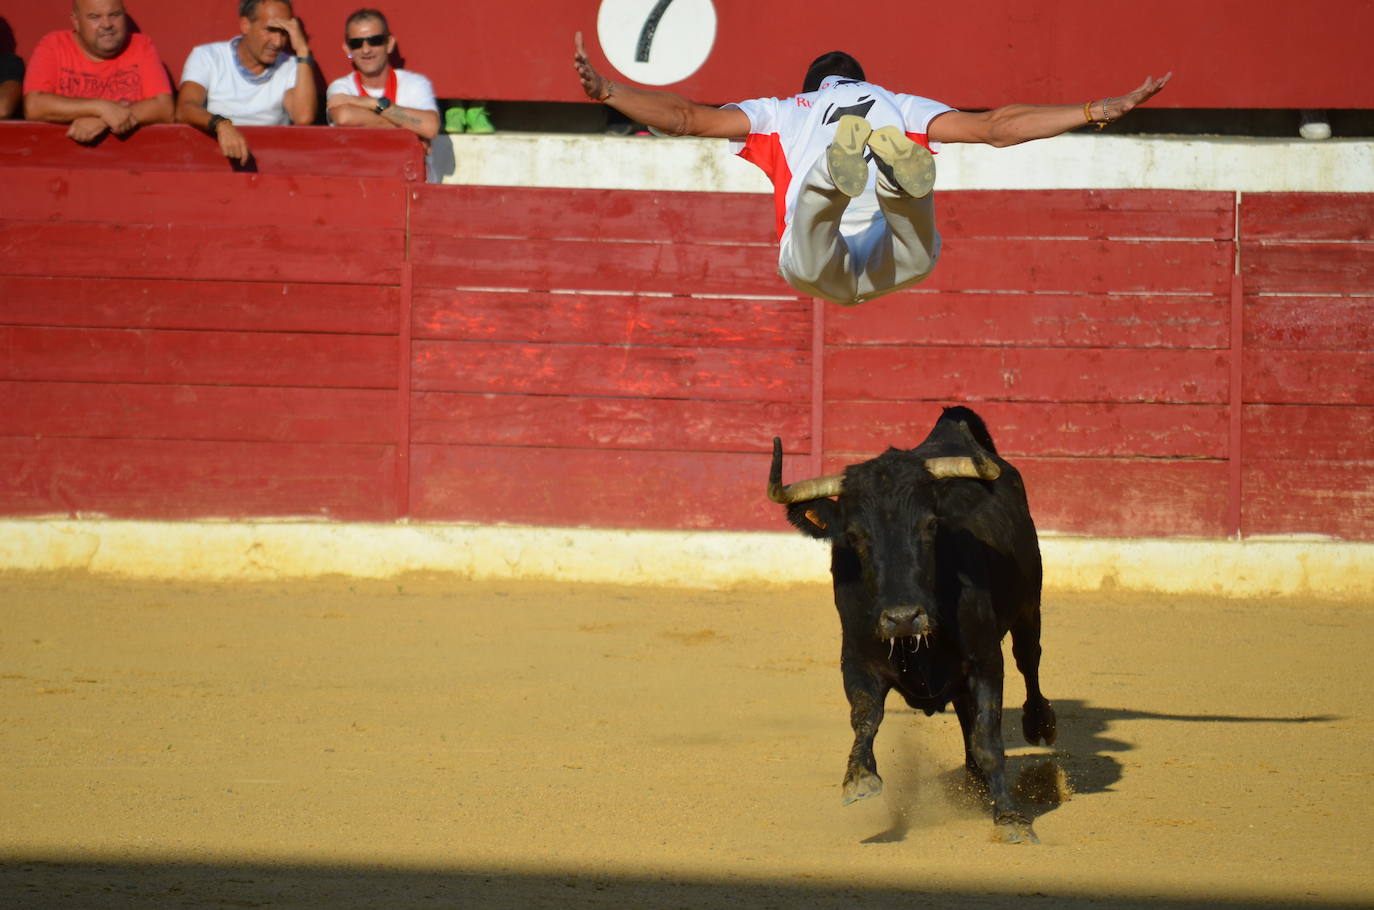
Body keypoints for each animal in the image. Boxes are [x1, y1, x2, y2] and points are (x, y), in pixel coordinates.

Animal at [769, 406, 1055, 846]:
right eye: (855, 535)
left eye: (930, 525)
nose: (903, 618)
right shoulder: (856, 659)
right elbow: (866, 716)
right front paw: (859, 777)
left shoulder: (986, 660)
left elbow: (989, 737)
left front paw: (1010, 818)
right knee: (964, 708)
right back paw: (974, 780)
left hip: (1029, 605)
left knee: (1029, 660)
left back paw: (1039, 724)